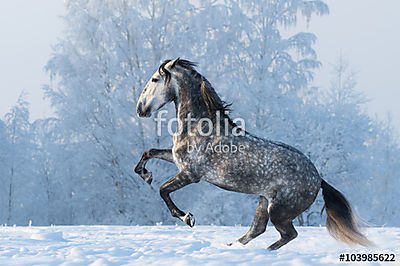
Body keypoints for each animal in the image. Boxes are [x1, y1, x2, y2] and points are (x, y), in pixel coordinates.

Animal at [135, 57, 372, 249]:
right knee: (257, 229)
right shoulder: (178, 161)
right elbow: (149, 152)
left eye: (155, 80)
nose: (140, 109)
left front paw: (187, 218)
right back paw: (232, 247)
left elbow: (163, 190)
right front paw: (146, 175)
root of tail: (319, 179)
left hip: (279, 210)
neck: (198, 125)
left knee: (287, 234)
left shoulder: (190, 174)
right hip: (264, 201)